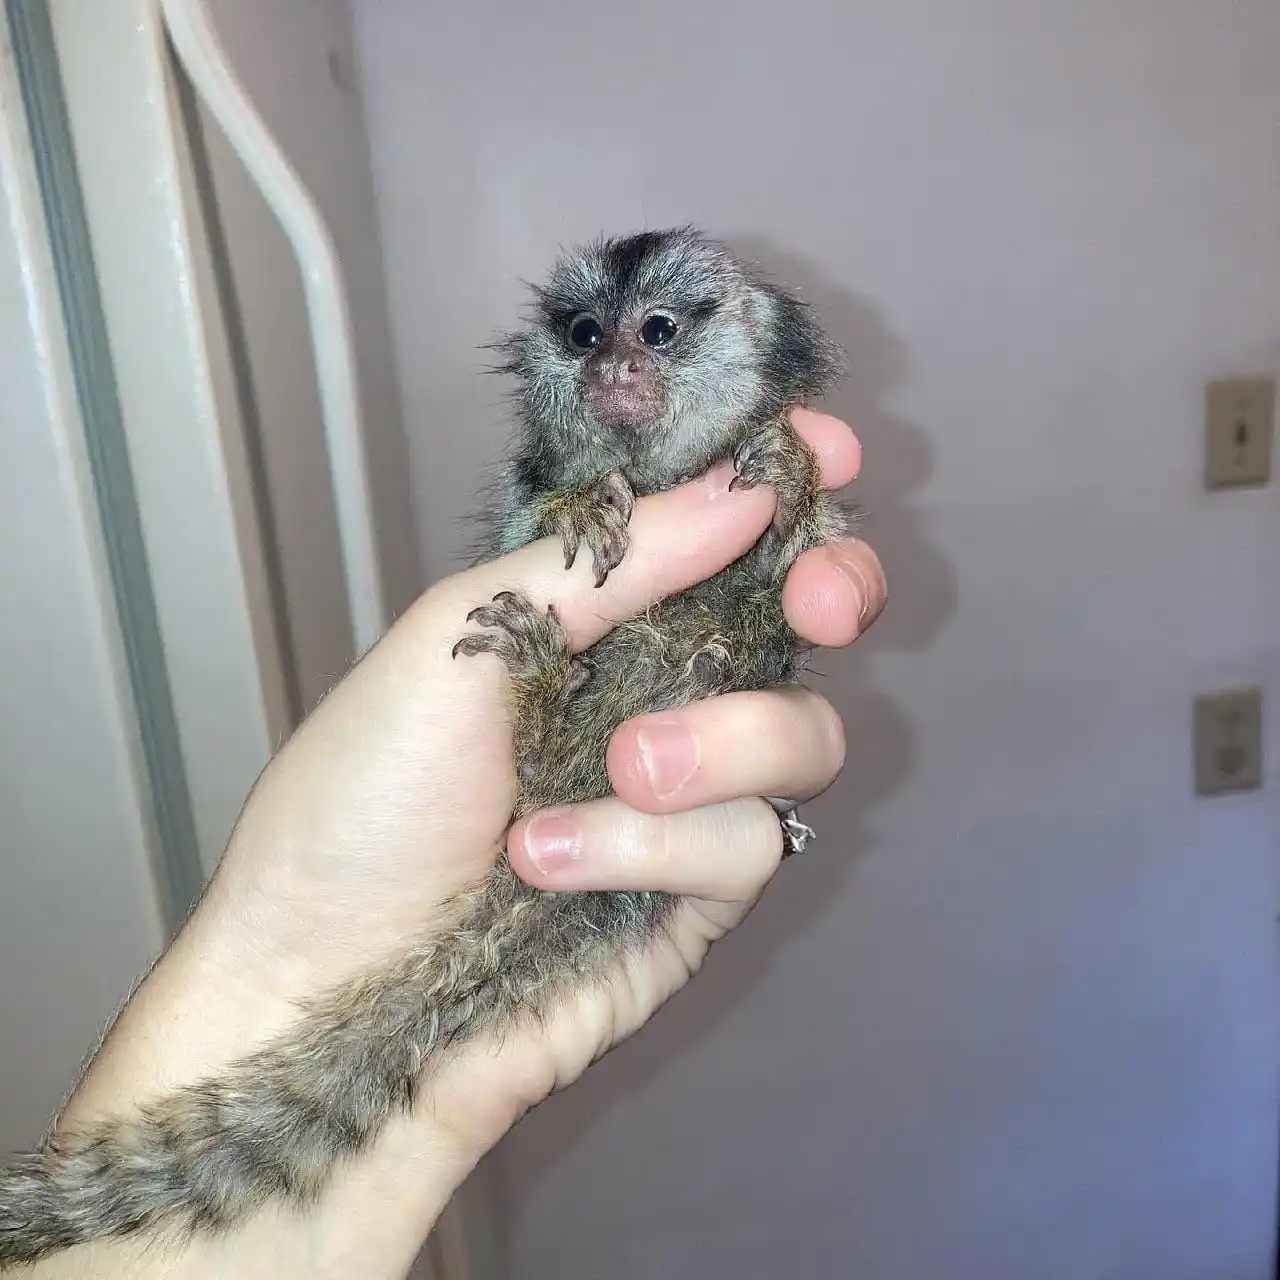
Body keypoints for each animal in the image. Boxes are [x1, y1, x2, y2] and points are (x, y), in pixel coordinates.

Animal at [0, 226, 851, 1267]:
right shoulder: (525, 499)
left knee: (705, 659)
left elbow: (790, 575)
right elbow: (541, 518)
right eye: (583, 332)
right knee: (554, 764)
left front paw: (790, 472)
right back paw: (542, 698)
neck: (660, 479)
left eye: (656, 330)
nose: (611, 366)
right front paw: (579, 506)